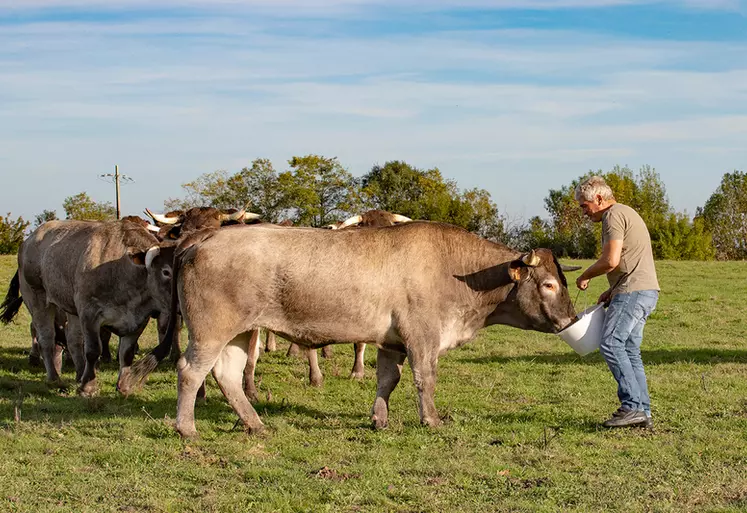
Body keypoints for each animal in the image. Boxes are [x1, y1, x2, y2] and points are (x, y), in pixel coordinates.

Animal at [0, 218, 172, 394]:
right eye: (166, 272)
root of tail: (28, 240)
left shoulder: (139, 319)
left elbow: (127, 353)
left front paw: (124, 385)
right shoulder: (89, 313)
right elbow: (93, 350)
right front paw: (88, 388)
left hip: (70, 309)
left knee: (73, 340)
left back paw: (79, 375)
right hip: (37, 300)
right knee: (46, 339)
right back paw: (54, 378)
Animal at [124, 220, 580, 436]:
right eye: (549, 284)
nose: (572, 319)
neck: (457, 271)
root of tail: (202, 239)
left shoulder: (392, 340)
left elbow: (387, 379)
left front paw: (379, 418)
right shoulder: (422, 337)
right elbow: (425, 379)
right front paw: (431, 419)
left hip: (237, 333)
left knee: (227, 375)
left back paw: (254, 423)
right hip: (211, 330)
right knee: (191, 371)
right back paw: (187, 428)